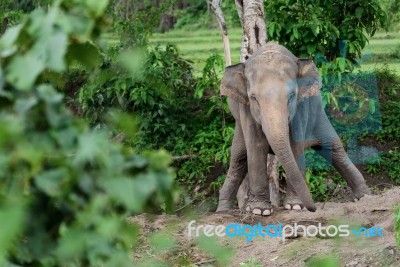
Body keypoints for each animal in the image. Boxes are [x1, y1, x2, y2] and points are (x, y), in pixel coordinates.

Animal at [216, 42, 372, 218]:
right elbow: (256, 147)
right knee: (238, 159)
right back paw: (223, 210)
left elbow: (295, 145)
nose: (314, 208)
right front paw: (259, 210)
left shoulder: (301, 106)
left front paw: (295, 206)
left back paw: (365, 197)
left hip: (319, 115)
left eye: (291, 96)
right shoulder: (246, 110)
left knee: (335, 149)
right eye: (253, 98)